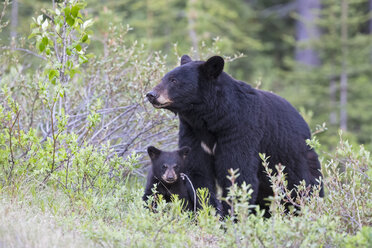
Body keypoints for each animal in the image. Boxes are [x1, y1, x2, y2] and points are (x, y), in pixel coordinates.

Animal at [145, 54, 322, 215]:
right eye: (164, 77)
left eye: (174, 80)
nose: (151, 94)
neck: (212, 118)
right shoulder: (193, 132)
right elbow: (198, 173)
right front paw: (207, 212)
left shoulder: (240, 130)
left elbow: (238, 172)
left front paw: (231, 218)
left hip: (293, 158)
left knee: (304, 187)